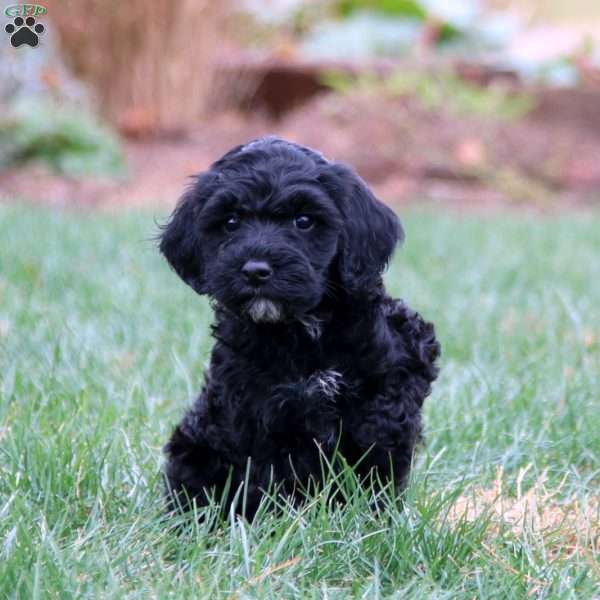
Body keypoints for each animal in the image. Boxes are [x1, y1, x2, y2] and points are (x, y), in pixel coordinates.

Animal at [159, 135, 440, 516]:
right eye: (231, 222)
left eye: (303, 221)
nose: (255, 270)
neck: (301, 328)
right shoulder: (250, 403)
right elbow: (263, 465)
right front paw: (273, 520)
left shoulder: (404, 359)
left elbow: (381, 435)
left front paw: (371, 514)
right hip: (195, 444)